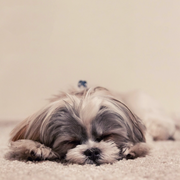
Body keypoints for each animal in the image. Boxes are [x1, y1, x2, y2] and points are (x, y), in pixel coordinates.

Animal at [5, 85, 179, 165]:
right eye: (71, 142)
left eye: (107, 136)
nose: (92, 151)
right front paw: (35, 147)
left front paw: (132, 148)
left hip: (156, 120)